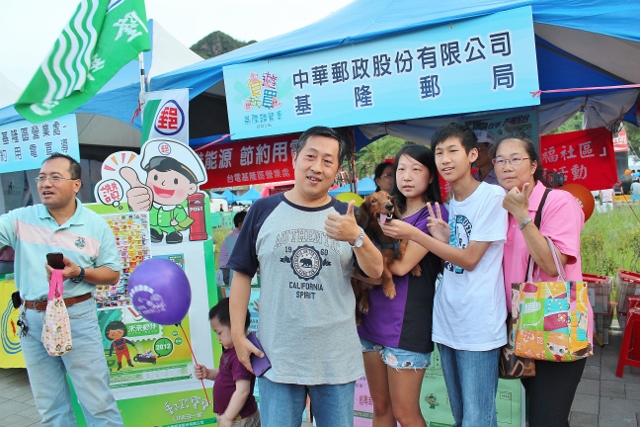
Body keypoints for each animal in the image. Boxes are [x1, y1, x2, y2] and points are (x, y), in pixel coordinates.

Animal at [352, 192, 422, 322]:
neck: (386, 235)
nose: (389, 206)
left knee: (365, 291)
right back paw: (358, 318)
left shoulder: (401, 239)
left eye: (388, 197)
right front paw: (390, 289)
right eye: (373, 201)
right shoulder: (379, 262)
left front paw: (415, 267)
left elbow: (405, 241)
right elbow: (388, 273)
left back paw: (364, 304)